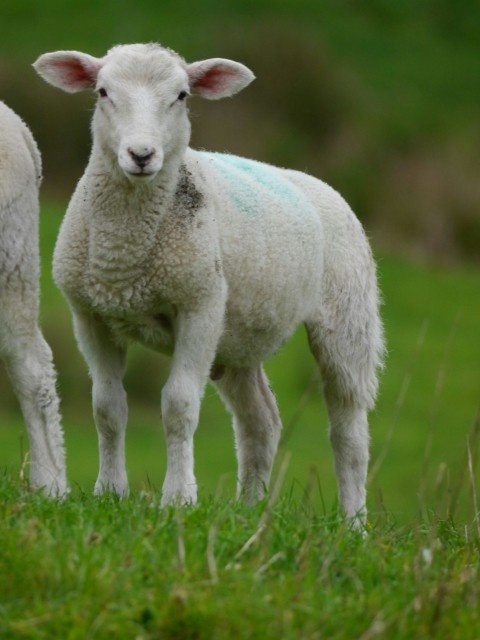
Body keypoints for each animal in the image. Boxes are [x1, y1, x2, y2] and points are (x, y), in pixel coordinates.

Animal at [33, 41, 384, 520]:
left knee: (349, 431)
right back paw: (249, 510)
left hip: (347, 316)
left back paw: (354, 523)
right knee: (261, 421)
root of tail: (318, 184)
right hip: (236, 336)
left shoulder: (198, 306)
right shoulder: (91, 316)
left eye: (182, 96)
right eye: (103, 92)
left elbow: (178, 406)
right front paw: (110, 491)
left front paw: (178, 498)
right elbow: (107, 407)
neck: (125, 254)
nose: (141, 155)